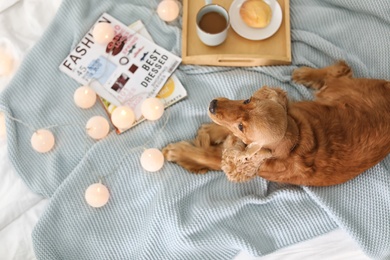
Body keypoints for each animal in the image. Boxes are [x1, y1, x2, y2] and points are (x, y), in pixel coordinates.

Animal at [162, 61, 390, 186]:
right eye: (247, 100)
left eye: (242, 127)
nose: (212, 104)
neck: (296, 139)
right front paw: (212, 130)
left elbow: (207, 155)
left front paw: (178, 153)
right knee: (342, 69)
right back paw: (307, 74)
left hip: (337, 91)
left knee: (342, 70)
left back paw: (307, 74)